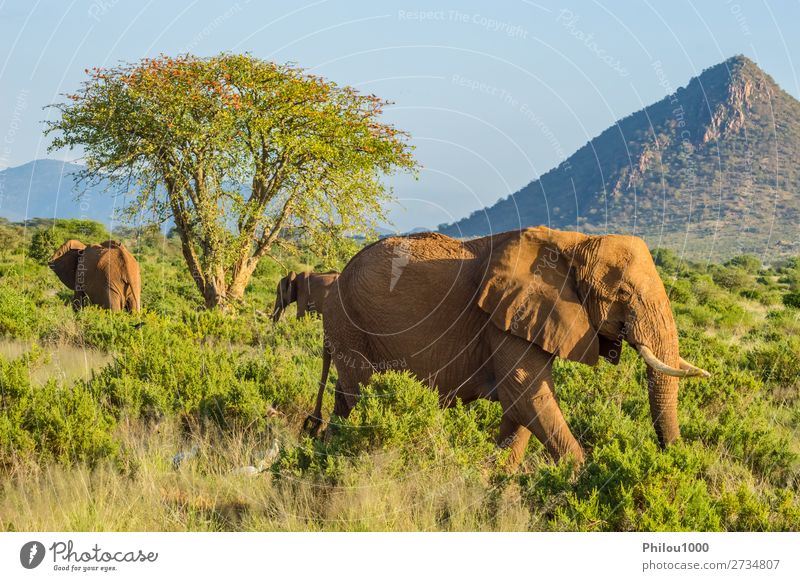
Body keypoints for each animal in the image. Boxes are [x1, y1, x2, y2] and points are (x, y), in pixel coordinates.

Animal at [304, 227, 708, 466]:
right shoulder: (505, 318)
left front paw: (496, 483)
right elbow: (527, 394)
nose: (676, 458)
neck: (572, 242)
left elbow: (522, 406)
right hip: (350, 323)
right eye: (622, 293)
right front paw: (585, 477)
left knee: (344, 398)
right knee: (358, 394)